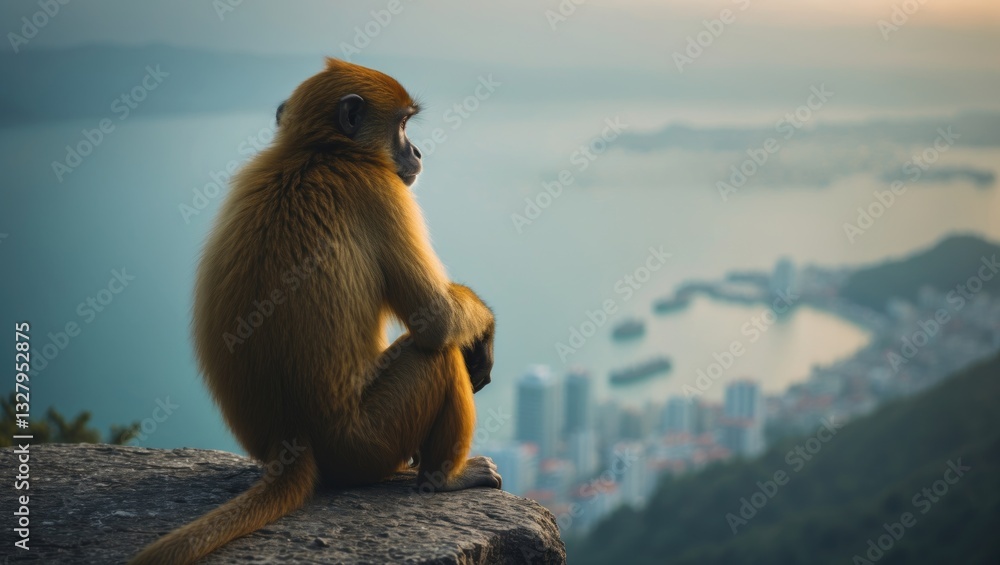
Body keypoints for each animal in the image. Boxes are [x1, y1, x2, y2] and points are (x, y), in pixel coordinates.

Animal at [129, 58, 500, 565]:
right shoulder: (380, 188)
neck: (319, 153)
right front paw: (484, 331)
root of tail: (293, 443)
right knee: (435, 358)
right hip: (365, 442)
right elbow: (435, 319)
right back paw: (441, 479)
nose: (417, 152)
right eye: (403, 126)